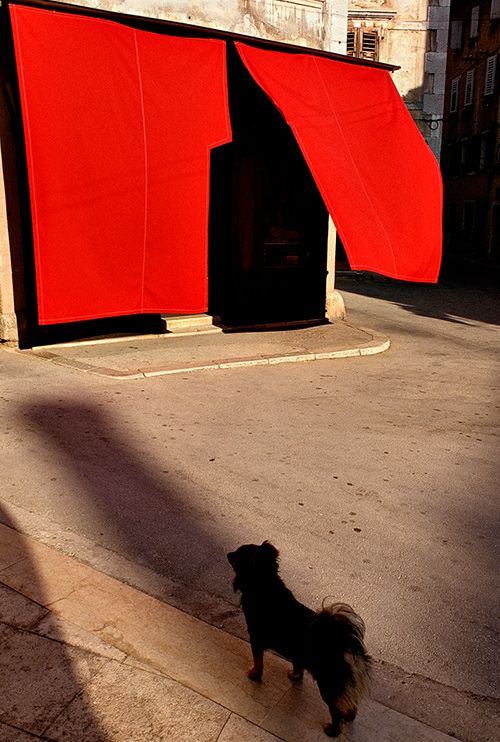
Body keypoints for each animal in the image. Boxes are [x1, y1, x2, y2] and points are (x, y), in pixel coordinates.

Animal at [228, 540, 372, 740]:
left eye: (236, 555)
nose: (228, 554)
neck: (264, 583)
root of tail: (343, 643)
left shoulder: (255, 639)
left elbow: (258, 661)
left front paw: (254, 675)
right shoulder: (297, 653)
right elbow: (297, 665)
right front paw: (295, 676)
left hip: (327, 684)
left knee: (335, 710)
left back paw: (332, 730)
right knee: (352, 705)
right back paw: (349, 717)